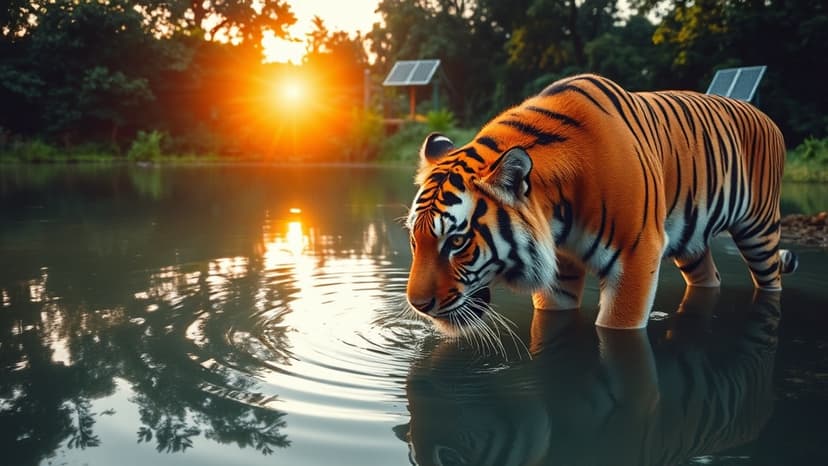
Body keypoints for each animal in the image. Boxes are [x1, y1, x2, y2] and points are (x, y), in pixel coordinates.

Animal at [405, 73, 798, 331]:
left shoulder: (637, 256)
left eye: (457, 241)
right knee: (709, 278)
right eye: (414, 240)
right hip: (692, 243)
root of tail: (767, 117)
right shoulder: (560, 270)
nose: (417, 306)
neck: (557, 214)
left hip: (759, 230)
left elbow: (616, 327)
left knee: (772, 278)